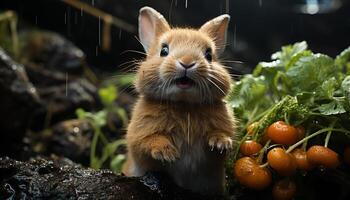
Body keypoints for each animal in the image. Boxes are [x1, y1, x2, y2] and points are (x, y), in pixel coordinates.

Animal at [121, 7, 237, 195]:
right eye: (164, 51)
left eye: (209, 55)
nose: (187, 62)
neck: (184, 105)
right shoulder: (139, 138)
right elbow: (148, 142)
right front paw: (167, 153)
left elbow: (219, 143)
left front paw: (220, 143)